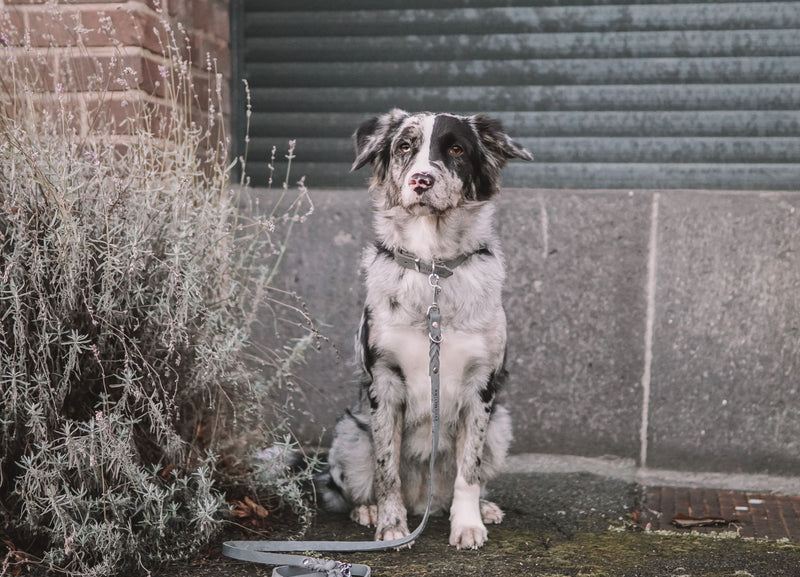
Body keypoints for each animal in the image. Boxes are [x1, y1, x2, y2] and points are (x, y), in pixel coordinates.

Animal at [318, 109, 532, 548]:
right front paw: (391, 527)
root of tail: (423, 502)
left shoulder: (480, 388)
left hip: (501, 425)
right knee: (353, 487)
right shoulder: (384, 381)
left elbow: (469, 470)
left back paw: (483, 507)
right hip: (349, 434)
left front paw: (468, 524)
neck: (433, 265)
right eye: (404, 146)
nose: (421, 180)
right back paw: (368, 510)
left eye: (456, 149)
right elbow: (387, 469)